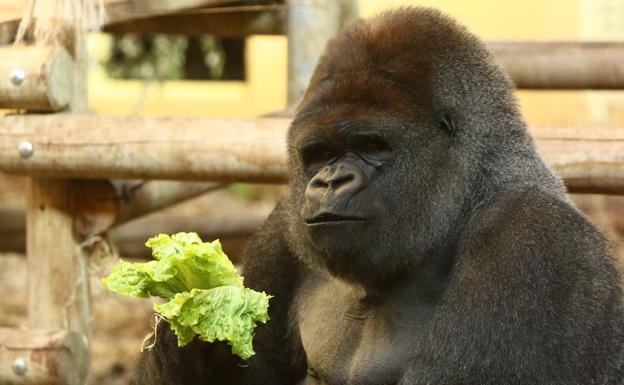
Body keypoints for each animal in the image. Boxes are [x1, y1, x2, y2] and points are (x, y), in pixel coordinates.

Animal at [133, 6, 624, 384]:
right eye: (319, 153)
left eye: (372, 146)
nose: (330, 181)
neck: (457, 209)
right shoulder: (282, 225)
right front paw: (188, 344)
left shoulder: (530, 242)